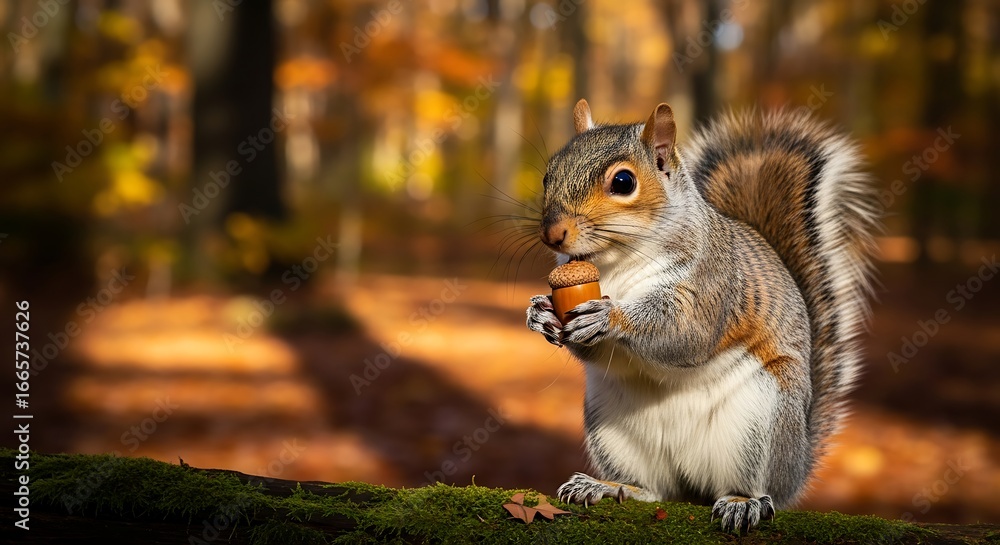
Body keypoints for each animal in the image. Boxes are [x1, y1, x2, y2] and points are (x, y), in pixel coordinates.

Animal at [525, 99, 877, 532]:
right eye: (548, 174)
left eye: (623, 182)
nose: (552, 233)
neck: (615, 265)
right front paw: (540, 312)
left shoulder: (711, 285)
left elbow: (686, 333)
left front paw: (609, 317)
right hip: (610, 429)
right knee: (653, 489)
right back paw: (607, 486)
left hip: (761, 424)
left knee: (754, 485)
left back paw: (744, 502)